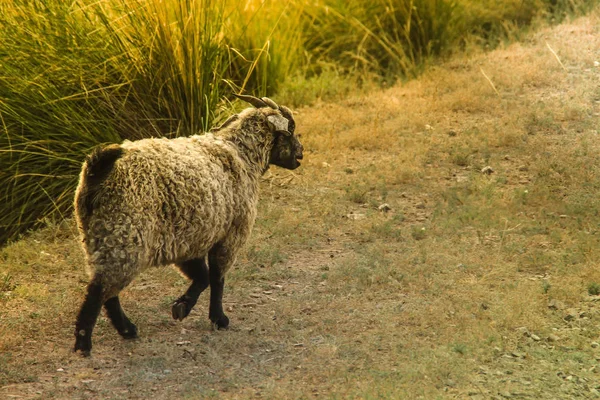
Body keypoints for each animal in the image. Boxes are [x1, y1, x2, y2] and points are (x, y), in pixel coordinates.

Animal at [72, 94, 302, 356]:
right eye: (290, 129)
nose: (301, 155)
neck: (241, 154)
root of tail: (96, 171)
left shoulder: (189, 239)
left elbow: (202, 277)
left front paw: (182, 306)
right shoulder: (229, 235)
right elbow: (217, 278)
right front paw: (218, 318)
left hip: (100, 236)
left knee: (108, 290)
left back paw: (126, 329)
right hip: (124, 232)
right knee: (99, 289)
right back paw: (84, 343)